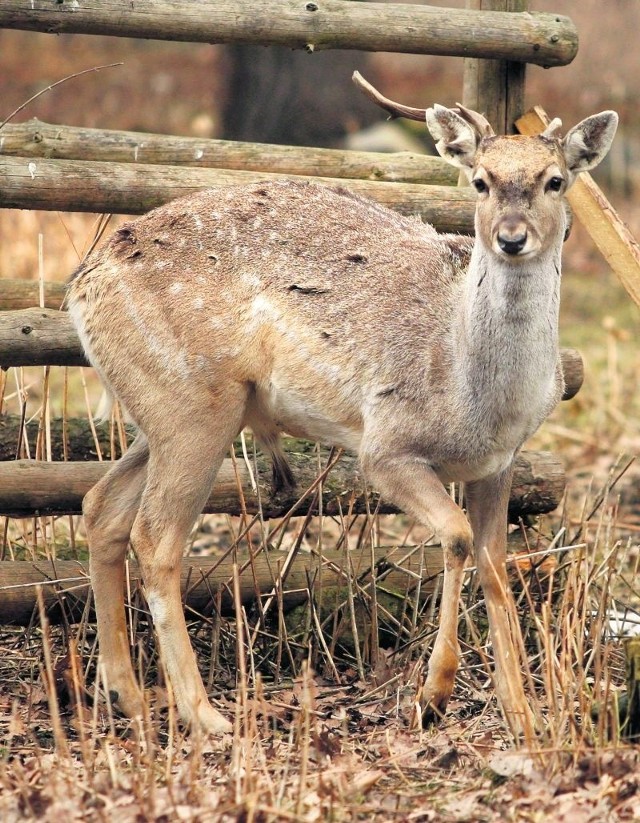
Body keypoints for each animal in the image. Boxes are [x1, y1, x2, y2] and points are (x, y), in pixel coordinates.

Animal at [63, 75, 616, 740]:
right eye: (480, 180)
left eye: (555, 180)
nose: (511, 237)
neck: (476, 397)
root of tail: (80, 287)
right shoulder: (385, 446)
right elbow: (456, 537)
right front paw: (433, 694)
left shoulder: (501, 461)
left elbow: (495, 566)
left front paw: (525, 718)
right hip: (190, 404)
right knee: (156, 538)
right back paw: (205, 715)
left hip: (168, 409)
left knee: (102, 506)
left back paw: (131, 697)